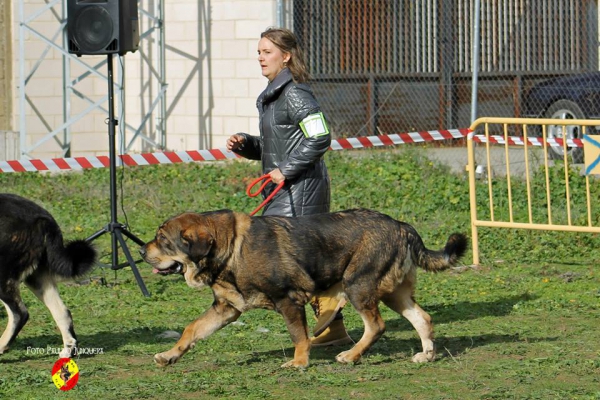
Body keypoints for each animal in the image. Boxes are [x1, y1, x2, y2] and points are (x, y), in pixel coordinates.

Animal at [141, 209, 468, 368]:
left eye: (163, 239)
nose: (142, 251)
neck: (231, 248)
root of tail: (402, 226)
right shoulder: (226, 309)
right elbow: (191, 330)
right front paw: (169, 355)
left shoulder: (289, 300)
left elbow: (299, 336)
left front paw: (299, 362)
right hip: (393, 293)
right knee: (423, 319)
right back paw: (426, 355)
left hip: (357, 285)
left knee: (376, 326)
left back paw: (351, 356)